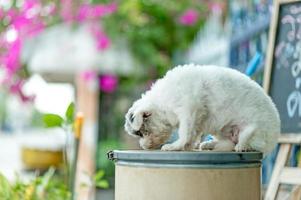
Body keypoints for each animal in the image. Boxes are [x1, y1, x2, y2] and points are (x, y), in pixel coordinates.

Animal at [123, 65, 278, 154]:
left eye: (141, 133)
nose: (143, 146)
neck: (162, 101)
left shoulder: (188, 110)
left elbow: (185, 132)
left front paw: (176, 146)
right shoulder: (197, 118)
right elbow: (193, 134)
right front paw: (188, 146)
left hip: (254, 131)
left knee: (246, 138)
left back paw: (242, 145)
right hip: (221, 131)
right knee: (227, 143)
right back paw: (209, 145)